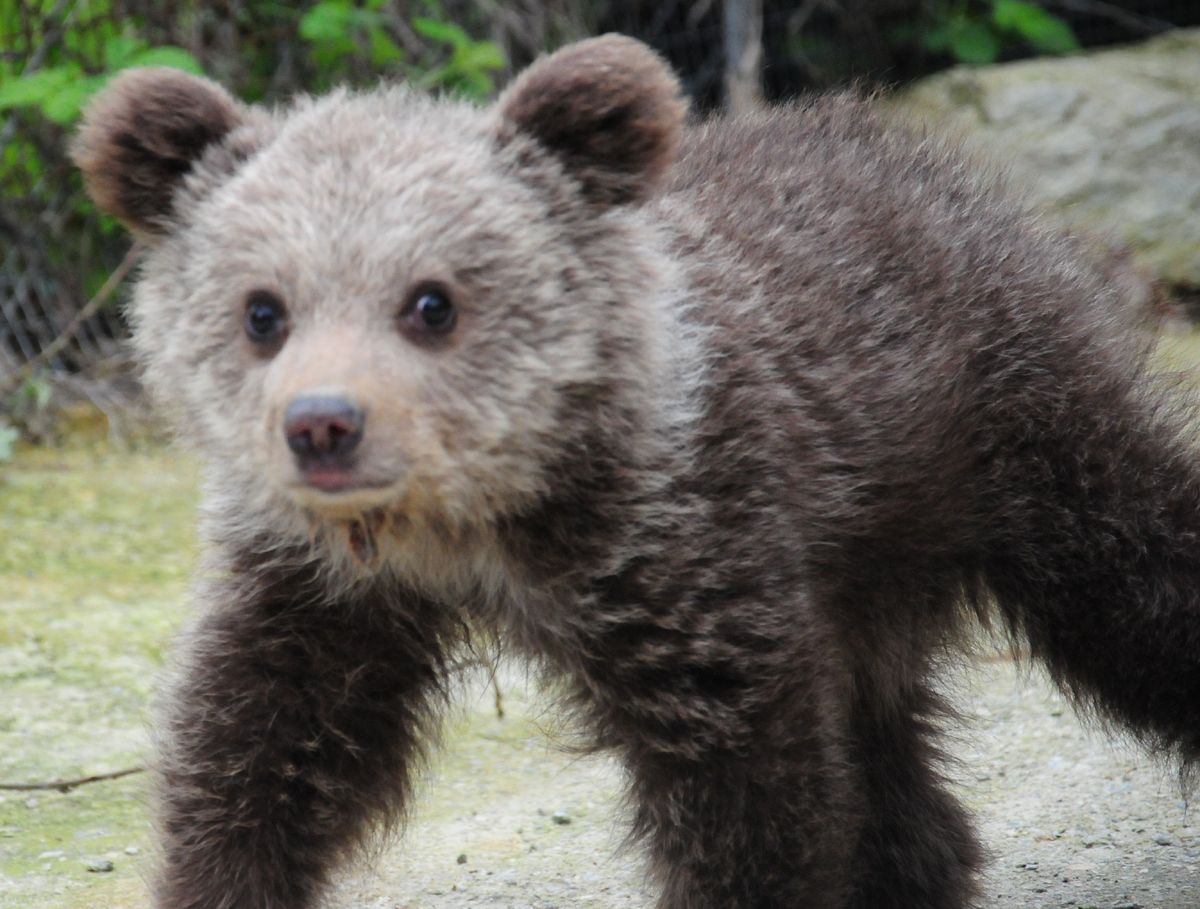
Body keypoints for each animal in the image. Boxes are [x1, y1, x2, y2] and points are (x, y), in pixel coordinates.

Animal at [75, 30, 1200, 909]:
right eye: (262, 309)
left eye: (432, 301)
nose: (322, 426)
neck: (477, 520)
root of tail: (899, 144)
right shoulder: (326, 586)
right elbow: (264, 738)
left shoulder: (682, 543)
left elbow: (745, 784)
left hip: (1011, 415)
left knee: (1135, 569)